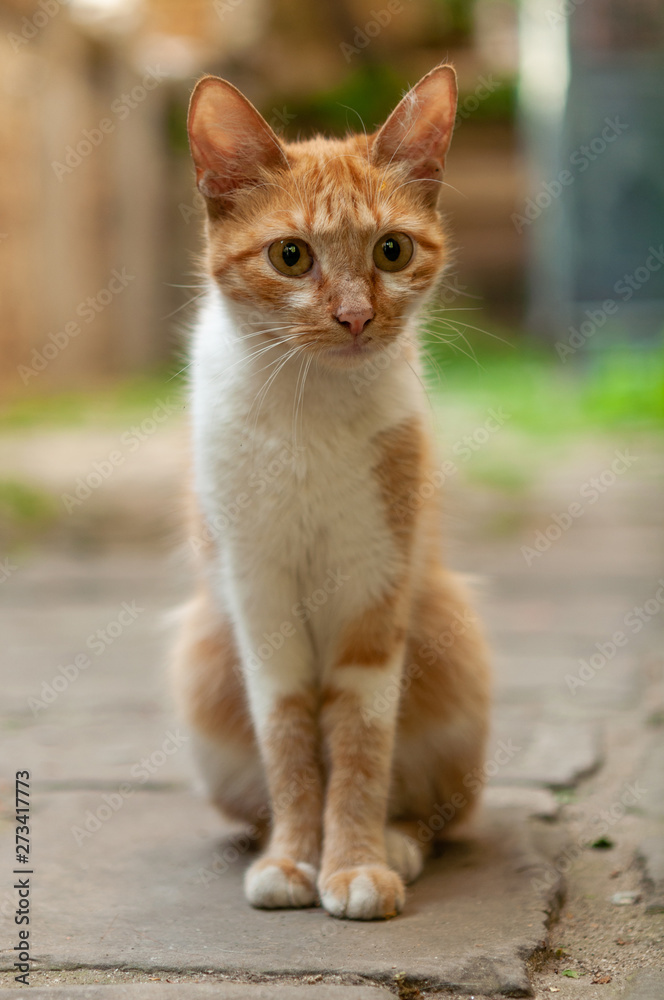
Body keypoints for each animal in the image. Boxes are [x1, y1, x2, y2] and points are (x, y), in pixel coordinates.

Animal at [174, 62, 490, 920]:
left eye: (391, 250)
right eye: (290, 256)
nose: (353, 316)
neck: (308, 410)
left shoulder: (375, 593)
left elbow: (358, 743)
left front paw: (353, 863)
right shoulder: (259, 599)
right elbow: (288, 741)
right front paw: (295, 856)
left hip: (453, 641)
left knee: (442, 806)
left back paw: (400, 841)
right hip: (203, 658)